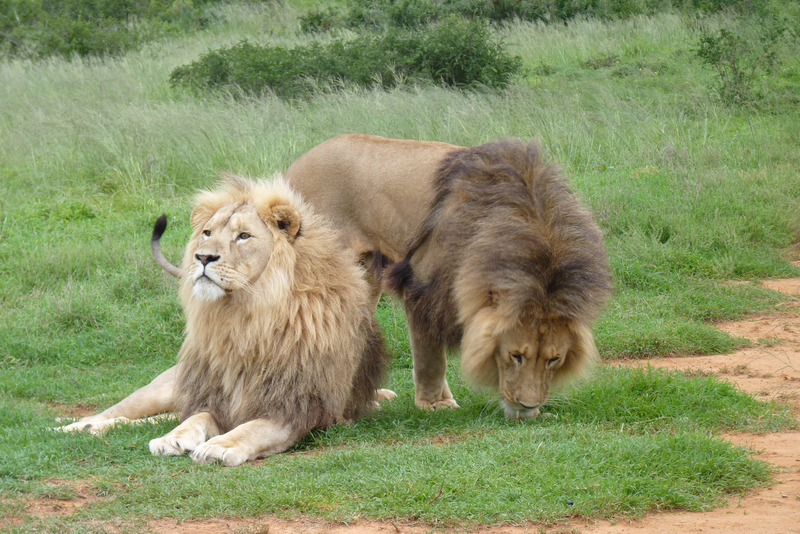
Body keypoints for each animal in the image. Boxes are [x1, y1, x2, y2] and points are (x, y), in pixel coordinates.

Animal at [61, 136, 612, 434]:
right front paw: (437, 406)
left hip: (365, 273)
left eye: (554, 359)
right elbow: (429, 355)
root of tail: (296, 165)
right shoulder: (420, 283)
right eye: (514, 354)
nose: (529, 407)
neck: (521, 227)